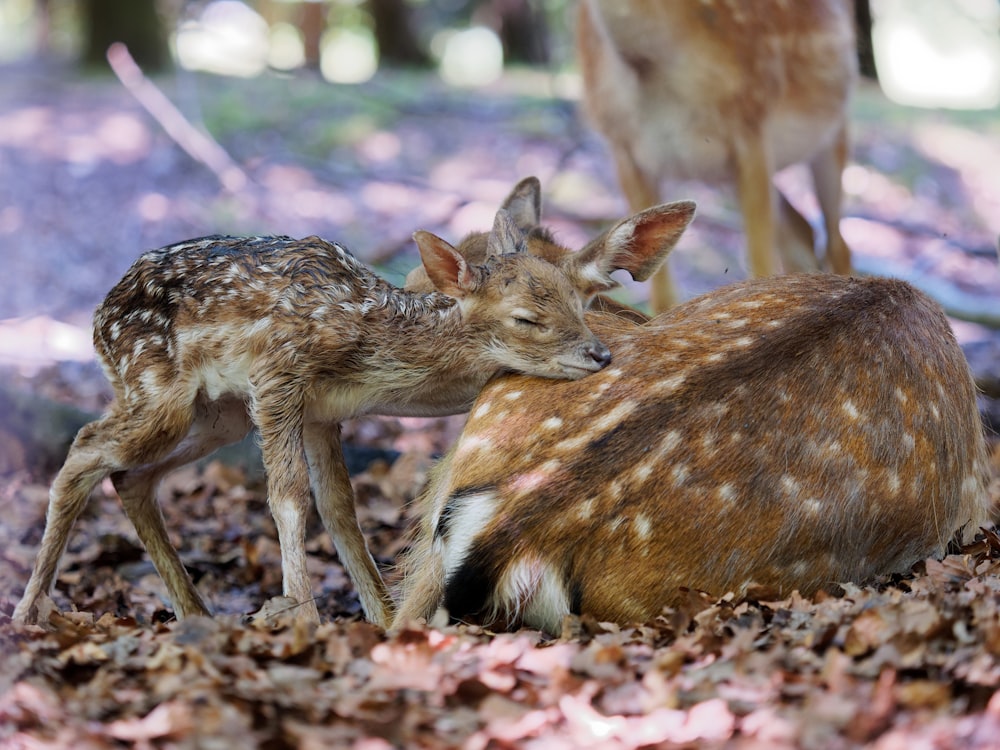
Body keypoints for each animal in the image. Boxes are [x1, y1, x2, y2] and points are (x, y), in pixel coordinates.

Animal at [13, 213, 616, 636]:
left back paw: (195, 612)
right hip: (158, 392)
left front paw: (380, 619)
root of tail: (96, 318)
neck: (368, 343)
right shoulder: (276, 374)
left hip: (218, 416)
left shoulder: (323, 413)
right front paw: (304, 618)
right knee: (86, 447)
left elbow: (339, 507)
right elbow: (288, 494)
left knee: (130, 476)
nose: (600, 354)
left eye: (578, 299)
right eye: (526, 319)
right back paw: (28, 611)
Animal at [584, 0, 856, 312]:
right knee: (802, 233)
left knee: (838, 243)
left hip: (833, 132)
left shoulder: (753, 123)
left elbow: (760, 264)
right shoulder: (623, 146)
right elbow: (662, 297)